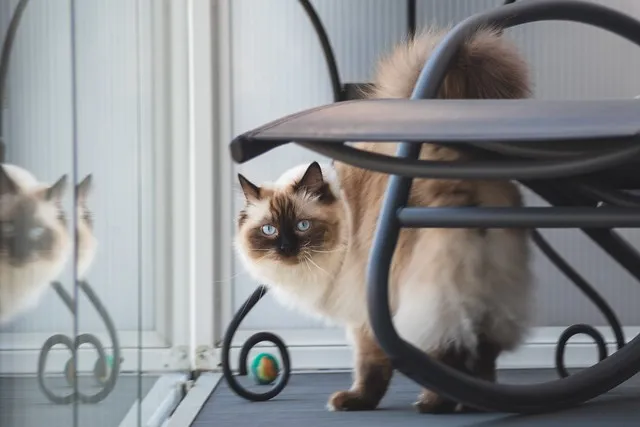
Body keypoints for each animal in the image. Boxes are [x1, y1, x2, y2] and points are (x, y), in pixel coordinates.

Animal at [235, 27, 536, 414]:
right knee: (482, 355)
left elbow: (371, 366)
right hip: (487, 292)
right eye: (269, 230)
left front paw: (354, 402)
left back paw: (433, 404)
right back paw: (474, 404)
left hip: (428, 296)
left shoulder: (364, 316)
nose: (286, 249)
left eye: (302, 226)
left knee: (446, 353)